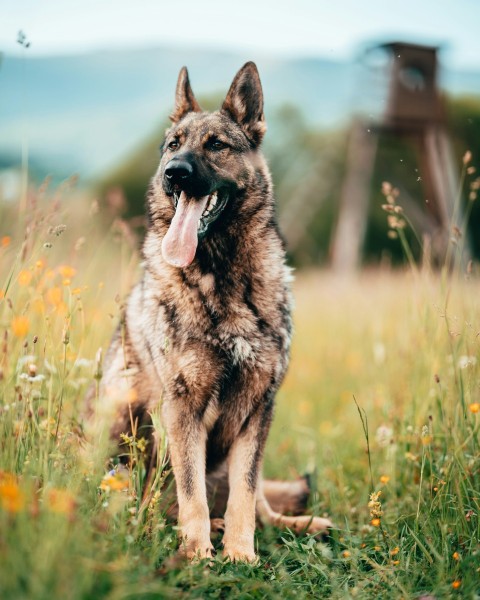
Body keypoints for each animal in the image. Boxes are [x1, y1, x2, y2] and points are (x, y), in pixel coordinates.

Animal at [86, 62, 332, 564]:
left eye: (217, 145)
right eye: (173, 145)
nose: (174, 173)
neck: (222, 278)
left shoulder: (258, 409)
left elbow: (245, 492)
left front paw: (241, 553)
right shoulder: (183, 409)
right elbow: (191, 492)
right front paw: (199, 554)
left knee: (260, 502)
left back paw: (297, 524)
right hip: (121, 409)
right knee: (146, 501)